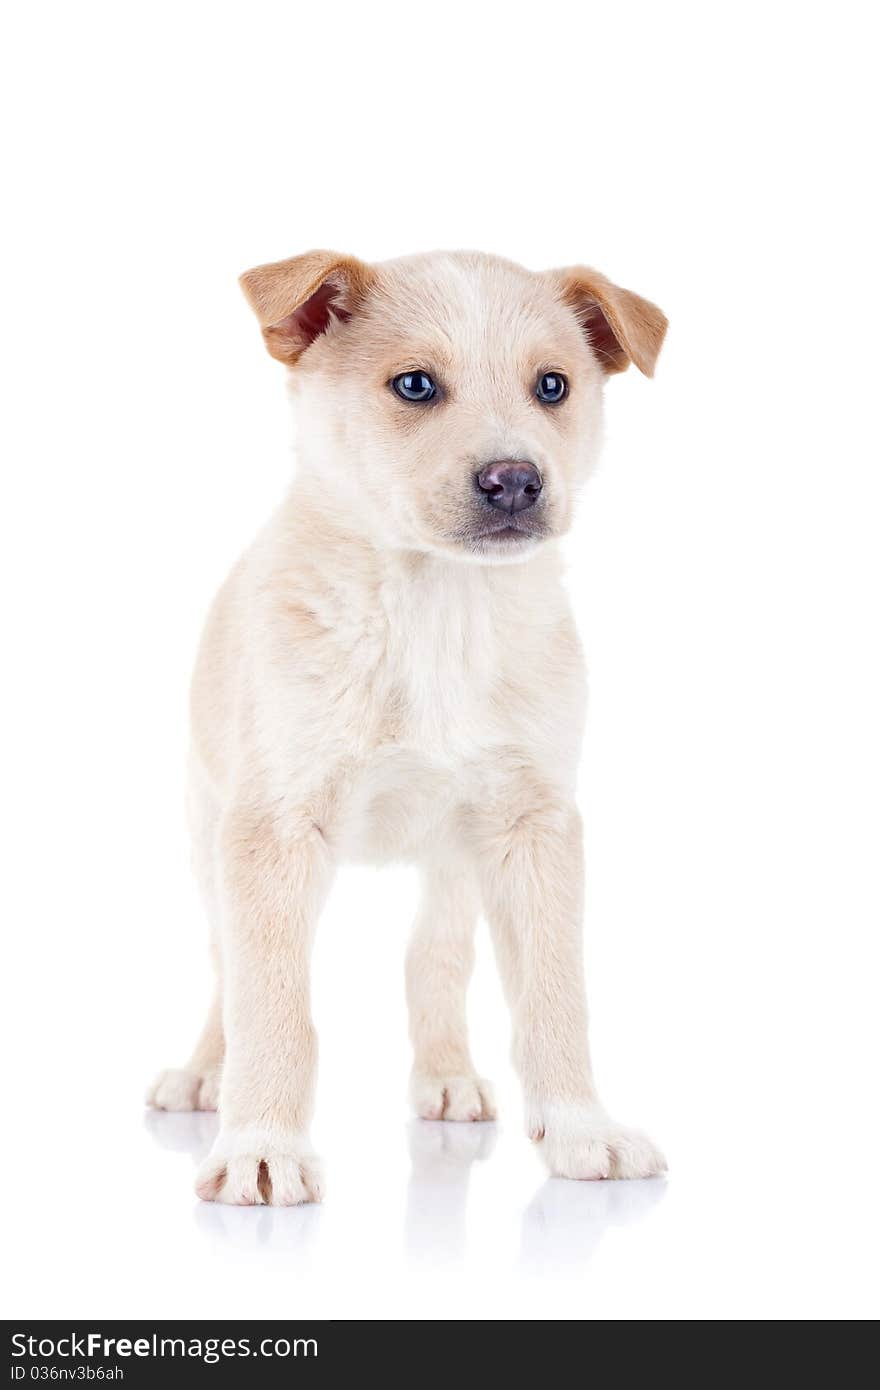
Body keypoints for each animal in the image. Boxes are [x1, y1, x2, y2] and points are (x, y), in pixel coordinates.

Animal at [145, 250, 664, 1206]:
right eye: (415, 385)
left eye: (553, 385)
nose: (515, 480)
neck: (438, 606)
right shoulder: (273, 830)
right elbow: (270, 1000)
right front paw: (260, 1144)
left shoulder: (534, 826)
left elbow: (555, 993)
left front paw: (582, 1127)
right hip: (208, 840)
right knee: (227, 971)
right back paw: (204, 1074)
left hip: (456, 861)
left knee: (436, 955)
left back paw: (447, 1074)